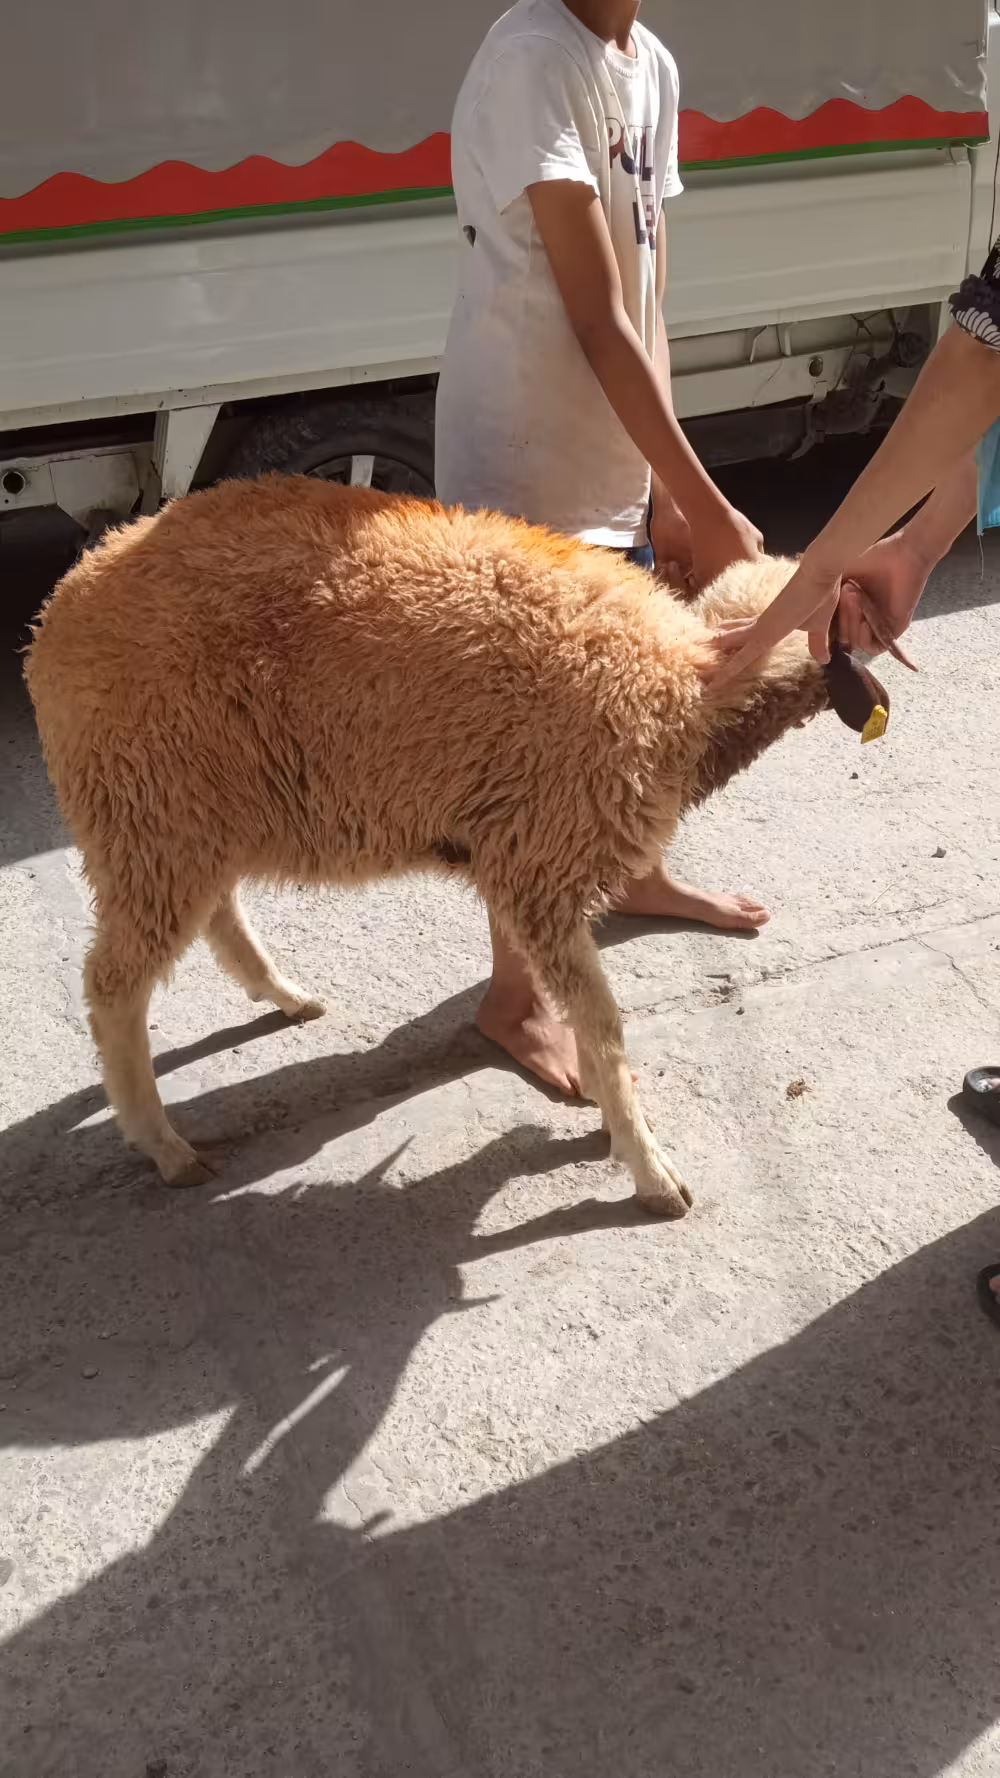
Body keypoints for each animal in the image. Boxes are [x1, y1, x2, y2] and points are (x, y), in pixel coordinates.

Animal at [25, 474, 835, 1216]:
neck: (688, 687)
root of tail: (56, 610)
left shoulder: (525, 852)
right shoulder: (542, 860)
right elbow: (602, 1027)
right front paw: (649, 1168)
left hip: (193, 810)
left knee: (213, 914)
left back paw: (284, 996)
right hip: (145, 804)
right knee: (113, 986)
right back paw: (165, 1146)